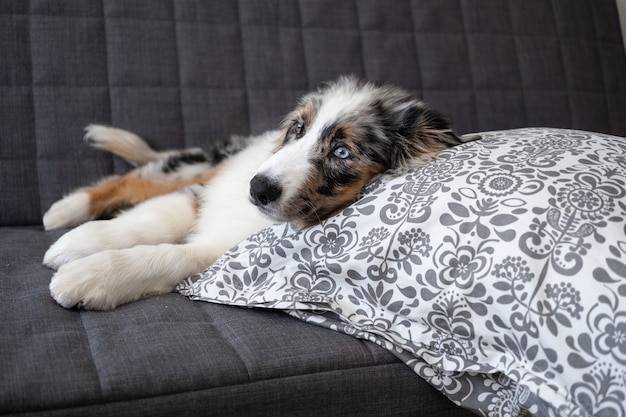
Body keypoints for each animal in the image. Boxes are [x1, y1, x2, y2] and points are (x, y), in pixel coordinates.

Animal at [44, 75, 470, 308]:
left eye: (342, 151)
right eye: (298, 129)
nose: (258, 188)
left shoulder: (218, 249)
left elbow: (167, 255)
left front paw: (84, 277)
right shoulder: (208, 189)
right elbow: (151, 220)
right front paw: (77, 243)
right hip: (202, 164)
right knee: (137, 180)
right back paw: (62, 212)